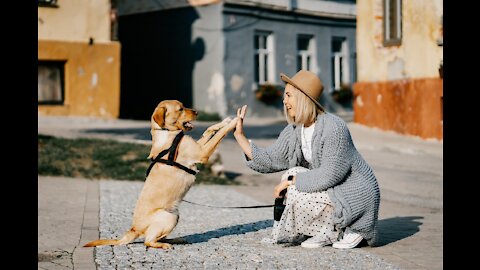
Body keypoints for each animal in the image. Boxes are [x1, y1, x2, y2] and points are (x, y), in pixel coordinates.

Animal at [85, 100, 240, 250]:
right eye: (180, 109)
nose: (197, 112)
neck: (167, 133)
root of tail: (134, 229)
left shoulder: (198, 146)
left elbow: (209, 130)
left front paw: (224, 121)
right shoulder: (202, 152)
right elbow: (219, 135)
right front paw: (234, 122)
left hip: (175, 215)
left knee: (158, 237)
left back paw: (176, 240)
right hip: (168, 216)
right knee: (148, 241)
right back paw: (164, 245)